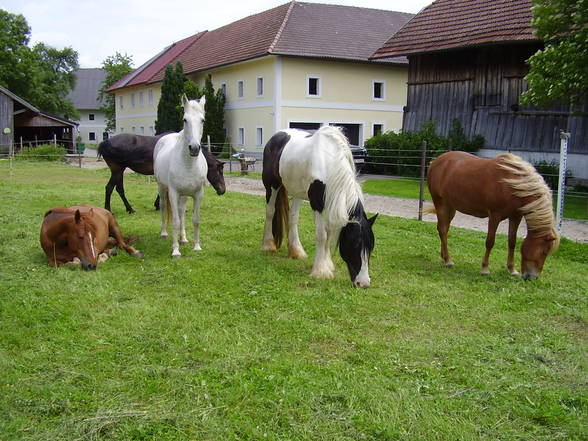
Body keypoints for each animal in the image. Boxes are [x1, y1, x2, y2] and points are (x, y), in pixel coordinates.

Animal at [155, 94, 208, 256]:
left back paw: (183, 238)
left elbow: (195, 220)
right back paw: (164, 233)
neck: (188, 164)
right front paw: (176, 251)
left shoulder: (198, 194)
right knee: (164, 207)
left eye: (202, 120)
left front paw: (197, 247)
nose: (194, 148)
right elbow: (175, 222)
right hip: (162, 188)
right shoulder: (173, 193)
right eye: (185, 119)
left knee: (181, 212)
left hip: (184, 195)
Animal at [260, 125, 376, 288]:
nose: (363, 283)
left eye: (371, 246)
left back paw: (296, 251)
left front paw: (327, 265)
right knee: (270, 212)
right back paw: (268, 245)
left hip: (297, 191)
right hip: (272, 185)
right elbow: (322, 235)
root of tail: (276, 137)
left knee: (292, 217)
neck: (329, 161)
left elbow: (329, 234)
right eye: (354, 244)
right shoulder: (317, 204)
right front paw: (321, 271)